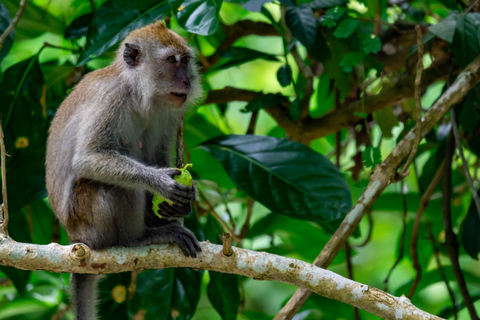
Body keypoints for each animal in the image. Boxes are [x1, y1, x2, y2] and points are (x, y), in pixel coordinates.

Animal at [44, 21, 203, 318]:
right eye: (171, 60)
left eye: (186, 61)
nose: (187, 81)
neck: (136, 91)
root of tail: (75, 238)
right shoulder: (110, 99)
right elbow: (88, 158)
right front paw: (161, 182)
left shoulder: (170, 113)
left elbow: (156, 153)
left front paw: (182, 203)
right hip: (88, 223)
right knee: (113, 186)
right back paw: (138, 238)